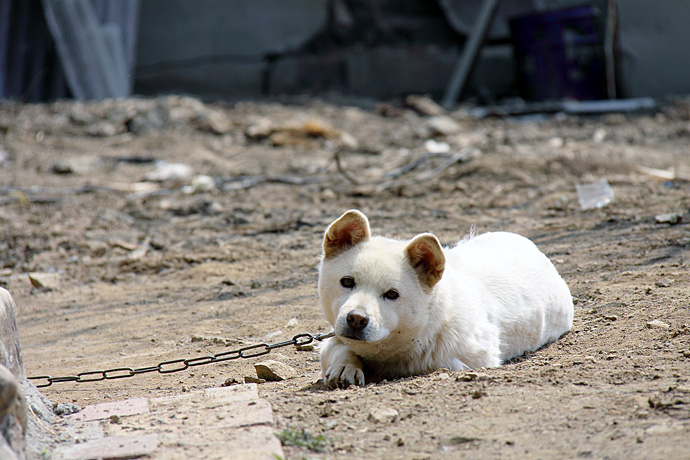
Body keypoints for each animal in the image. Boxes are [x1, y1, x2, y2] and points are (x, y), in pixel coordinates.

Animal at [318, 209, 568, 388]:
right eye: (347, 281)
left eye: (391, 294)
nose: (356, 319)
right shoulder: (336, 336)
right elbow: (338, 348)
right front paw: (346, 367)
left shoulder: (473, 359)